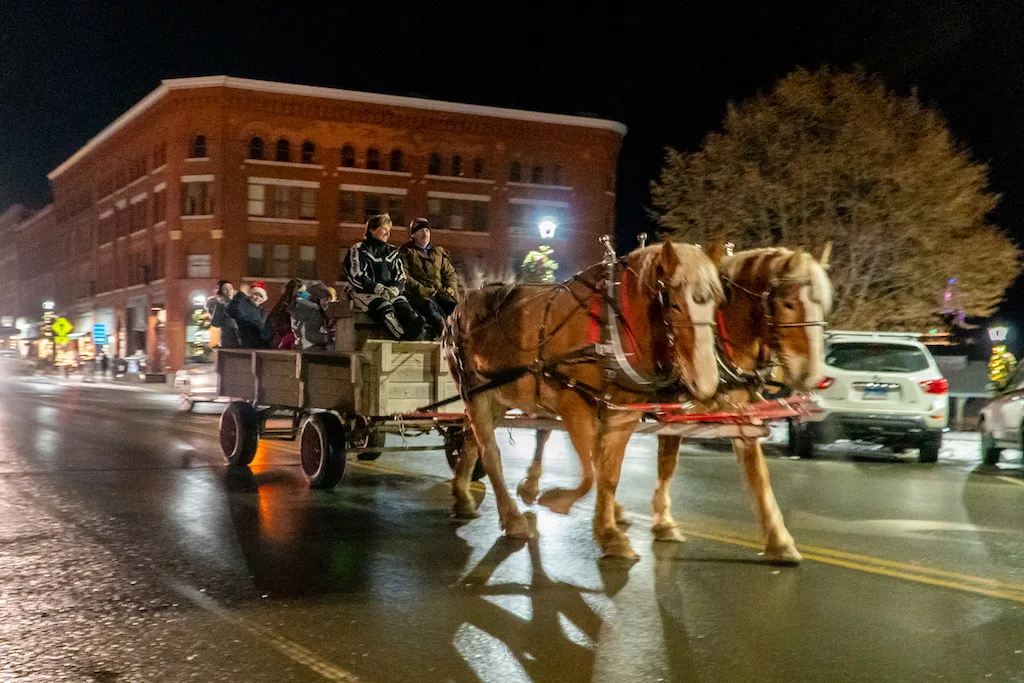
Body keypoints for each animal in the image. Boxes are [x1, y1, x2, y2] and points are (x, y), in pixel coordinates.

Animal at [444, 242, 724, 557]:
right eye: (674, 304)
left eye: (718, 302)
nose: (706, 383)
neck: (610, 327)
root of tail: (458, 309)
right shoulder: (574, 408)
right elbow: (590, 474)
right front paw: (556, 500)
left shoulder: (623, 415)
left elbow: (609, 475)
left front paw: (609, 532)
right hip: (475, 395)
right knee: (491, 455)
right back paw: (513, 518)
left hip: (495, 398)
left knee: (472, 444)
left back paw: (462, 496)